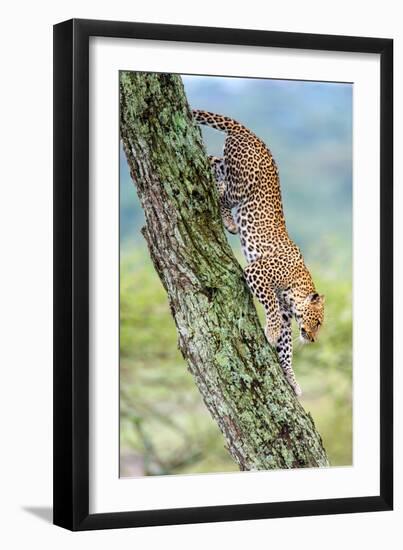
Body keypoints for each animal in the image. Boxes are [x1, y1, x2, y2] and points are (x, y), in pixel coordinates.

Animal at [193, 110, 326, 398]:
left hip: (228, 164)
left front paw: (291, 380)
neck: (297, 287)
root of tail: (251, 134)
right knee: (223, 192)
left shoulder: (288, 315)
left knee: (213, 162)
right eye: (319, 322)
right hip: (243, 182)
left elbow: (286, 349)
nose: (312, 339)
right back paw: (229, 222)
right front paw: (271, 332)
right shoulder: (257, 273)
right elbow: (272, 308)